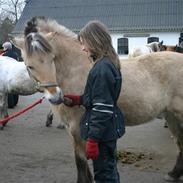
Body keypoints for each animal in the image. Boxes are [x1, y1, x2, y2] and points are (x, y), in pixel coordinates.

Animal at [12, 16, 183, 182]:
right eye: (29, 66)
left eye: (52, 58)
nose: (55, 96)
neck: (74, 69)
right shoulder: (70, 129)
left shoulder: (77, 128)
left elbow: (80, 161)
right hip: (171, 116)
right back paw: (173, 174)